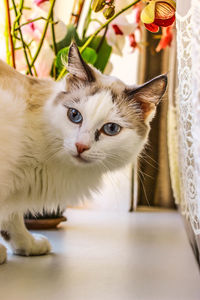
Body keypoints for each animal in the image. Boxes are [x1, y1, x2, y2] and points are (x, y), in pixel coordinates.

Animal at [0, 41, 167, 262]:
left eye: (111, 129)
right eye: (74, 115)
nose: (81, 146)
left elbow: (12, 219)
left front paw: (27, 244)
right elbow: (12, 216)